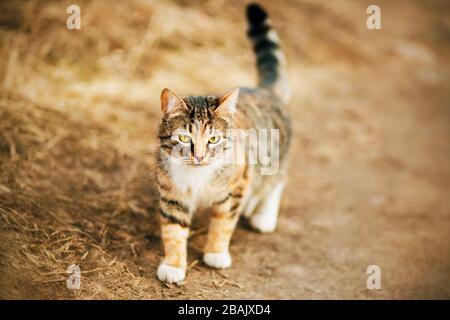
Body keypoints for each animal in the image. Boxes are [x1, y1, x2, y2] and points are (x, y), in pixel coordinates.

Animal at [155, 2, 292, 282]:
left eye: (213, 139)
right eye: (183, 137)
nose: (199, 156)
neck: (196, 176)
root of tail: (265, 90)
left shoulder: (233, 189)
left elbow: (223, 223)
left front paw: (216, 253)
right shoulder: (171, 195)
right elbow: (173, 231)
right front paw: (173, 265)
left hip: (274, 159)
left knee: (277, 183)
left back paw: (263, 216)